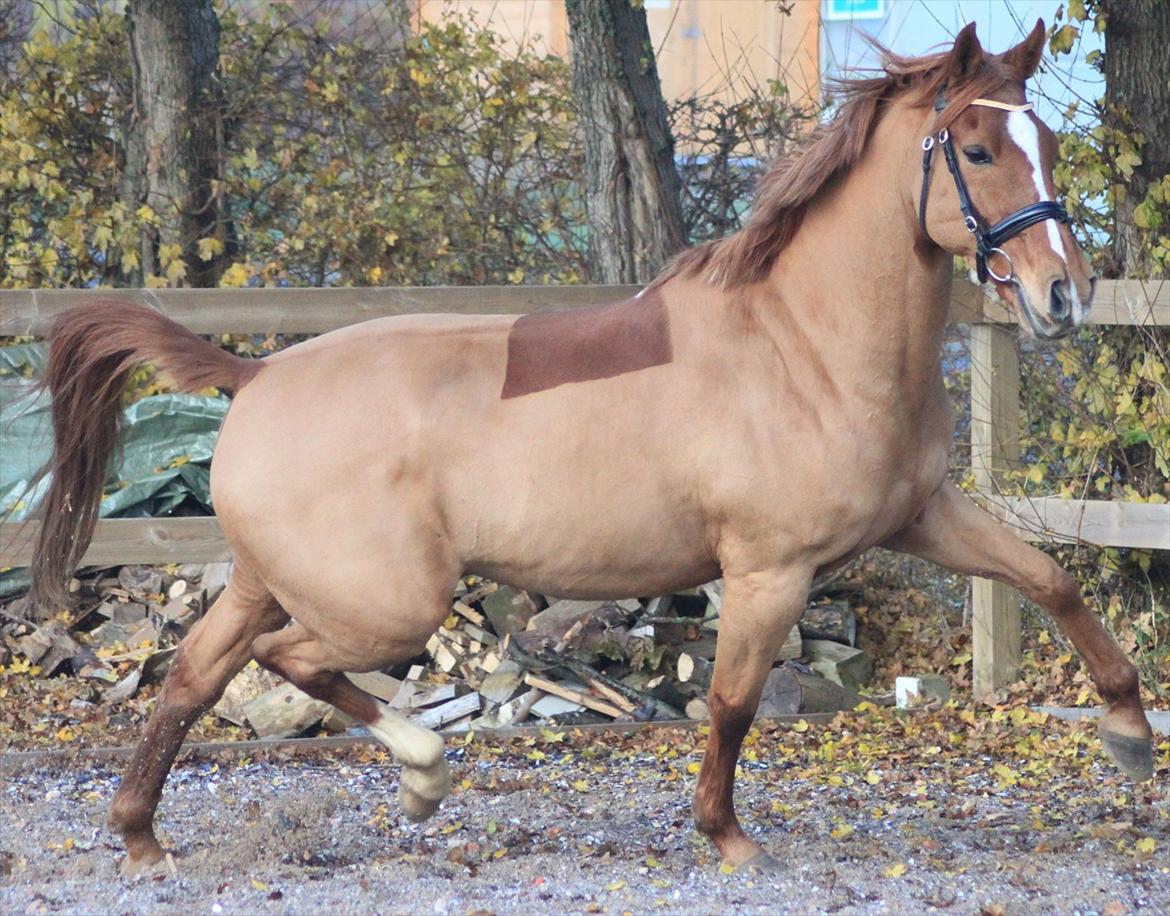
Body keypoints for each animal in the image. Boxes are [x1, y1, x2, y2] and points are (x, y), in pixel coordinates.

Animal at [25, 21, 1151, 879]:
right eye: (976, 149)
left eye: (1049, 138)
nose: (1063, 294)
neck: (805, 345)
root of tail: (255, 379)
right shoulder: (769, 570)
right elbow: (732, 701)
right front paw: (727, 836)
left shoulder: (922, 516)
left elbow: (1049, 579)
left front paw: (1130, 734)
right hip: (382, 602)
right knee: (280, 661)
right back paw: (423, 772)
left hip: (274, 581)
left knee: (195, 674)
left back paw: (143, 839)